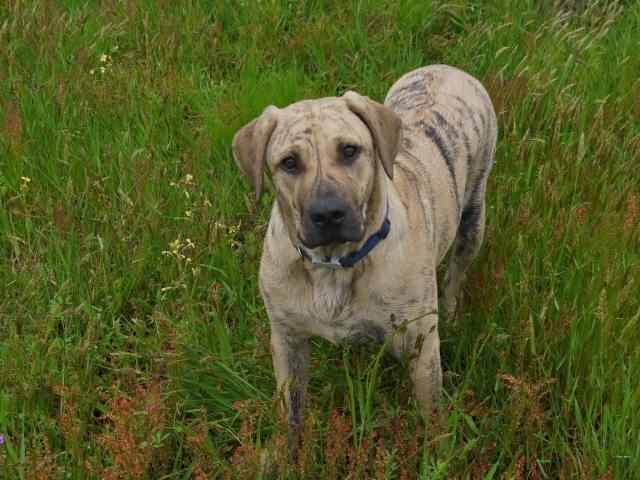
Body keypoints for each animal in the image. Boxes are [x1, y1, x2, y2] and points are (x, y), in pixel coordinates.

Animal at [232, 64, 498, 454]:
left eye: (349, 150)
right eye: (289, 162)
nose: (328, 214)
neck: (332, 265)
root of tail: (446, 68)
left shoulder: (421, 348)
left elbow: (433, 416)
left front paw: (438, 457)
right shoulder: (286, 339)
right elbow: (289, 413)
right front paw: (282, 456)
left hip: (474, 217)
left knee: (456, 273)